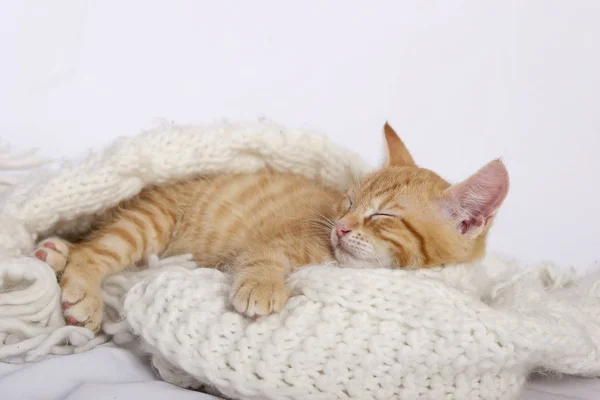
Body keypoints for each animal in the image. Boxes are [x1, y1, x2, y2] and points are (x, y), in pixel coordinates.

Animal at [32, 124, 508, 332]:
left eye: (383, 216)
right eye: (349, 202)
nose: (340, 228)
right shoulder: (276, 243)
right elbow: (260, 258)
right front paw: (261, 286)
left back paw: (51, 251)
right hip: (148, 223)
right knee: (94, 249)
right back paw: (82, 292)